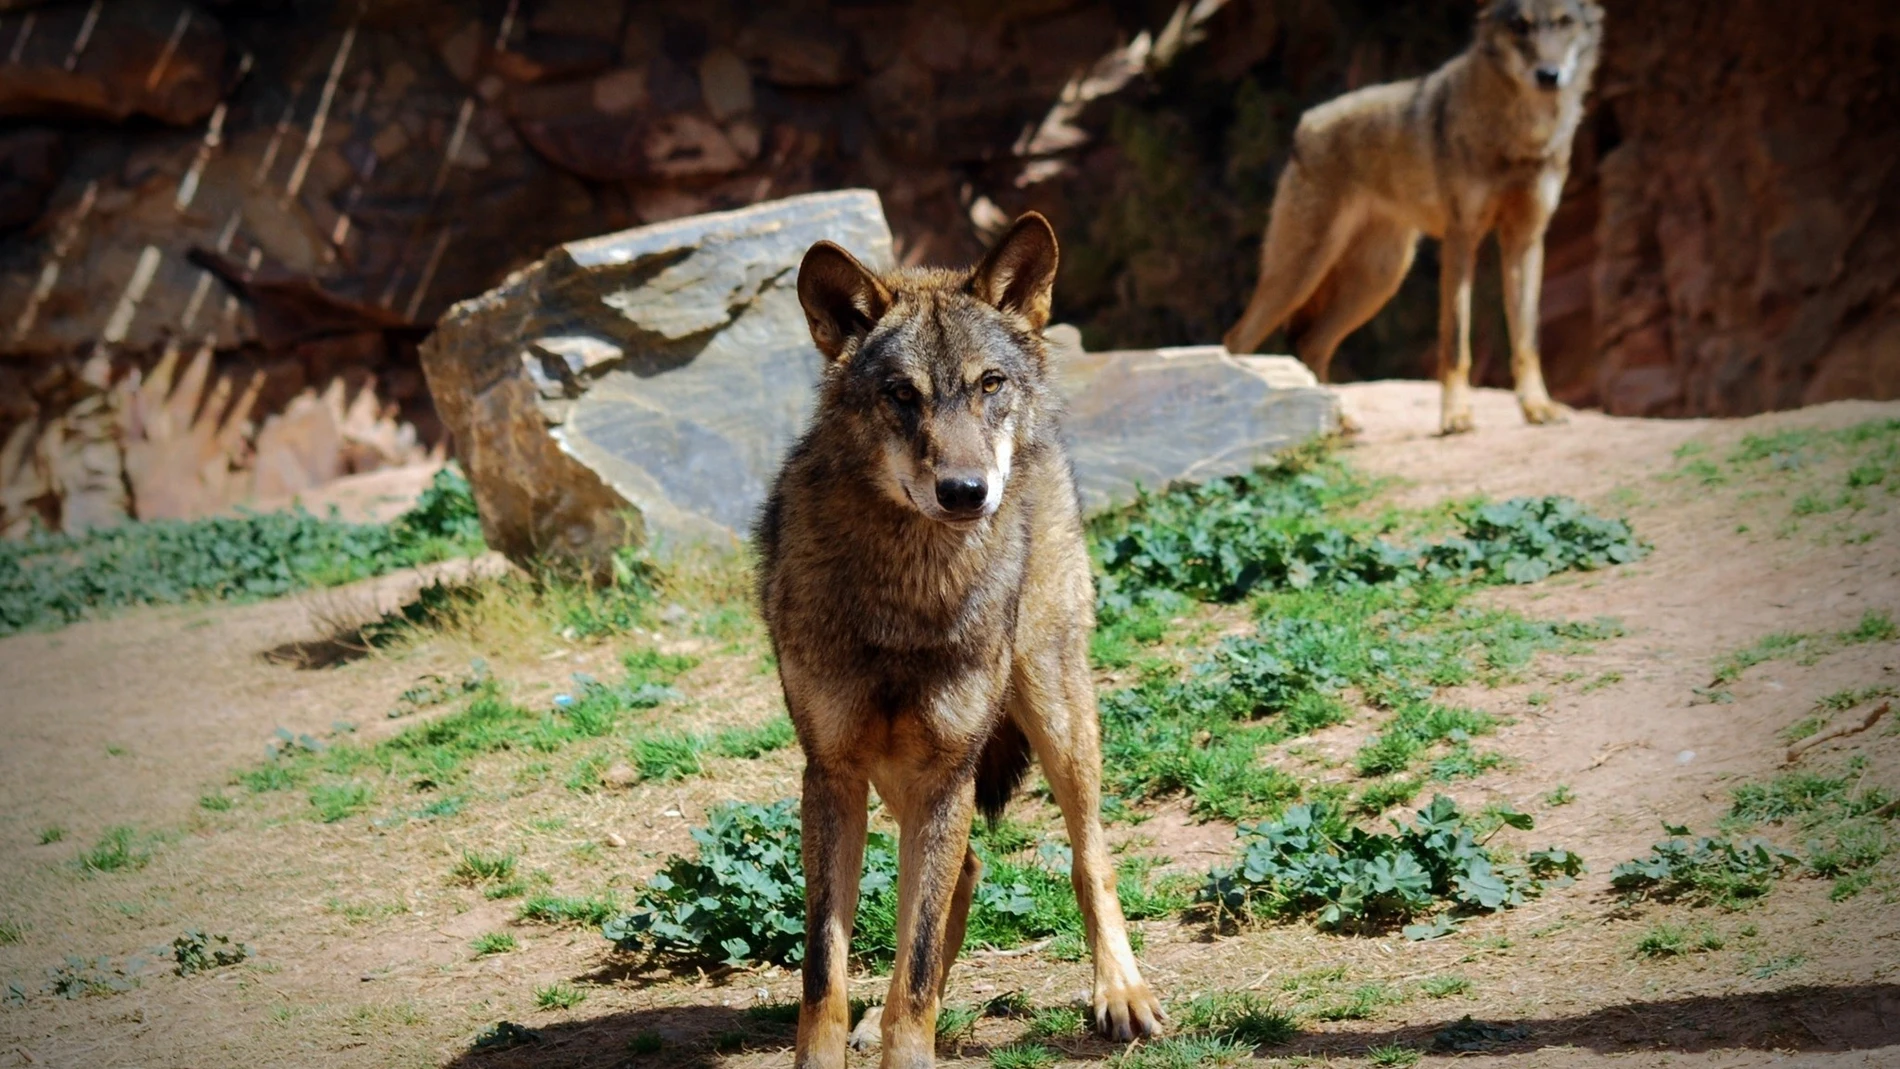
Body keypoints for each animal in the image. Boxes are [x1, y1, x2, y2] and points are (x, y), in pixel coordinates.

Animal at [756, 213, 1165, 1069]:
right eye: (900, 395)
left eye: (989, 385)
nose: (967, 491)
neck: (909, 594)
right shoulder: (833, 773)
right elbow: (825, 968)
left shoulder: (947, 769)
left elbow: (911, 967)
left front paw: (908, 1049)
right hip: (905, 775)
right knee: (967, 867)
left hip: (1053, 712)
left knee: (1088, 854)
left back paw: (1121, 992)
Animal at [1222, 0, 1604, 434]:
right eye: (1519, 26)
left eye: (1563, 22)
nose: (1548, 75)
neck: (1523, 133)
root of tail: (1304, 126)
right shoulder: (1462, 238)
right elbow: (1455, 342)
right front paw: (1456, 416)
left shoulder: (1525, 239)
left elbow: (1527, 339)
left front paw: (1537, 407)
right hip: (1303, 272)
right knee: (1238, 340)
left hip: (1378, 280)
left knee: (1310, 343)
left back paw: (1339, 421)